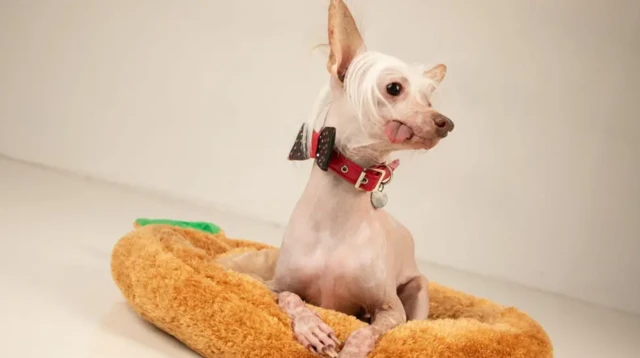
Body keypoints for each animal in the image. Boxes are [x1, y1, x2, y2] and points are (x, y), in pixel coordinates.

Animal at [216, 1, 456, 356]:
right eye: (394, 88)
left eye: (428, 101)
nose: (446, 123)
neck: (337, 220)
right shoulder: (273, 286)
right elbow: (292, 299)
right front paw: (314, 330)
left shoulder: (390, 310)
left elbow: (366, 332)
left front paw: (352, 347)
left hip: (418, 289)